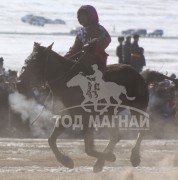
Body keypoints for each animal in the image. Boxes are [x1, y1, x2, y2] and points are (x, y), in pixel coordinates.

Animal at [17, 42, 149, 173]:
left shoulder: (87, 119)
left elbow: (89, 149)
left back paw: (134, 157)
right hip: (109, 114)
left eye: (34, 62)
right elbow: (51, 140)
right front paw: (66, 161)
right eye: (26, 61)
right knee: (115, 136)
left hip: (137, 108)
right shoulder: (67, 116)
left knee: (141, 130)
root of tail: (137, 74)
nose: (19, 83)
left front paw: (109, 157)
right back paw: (100, 163)